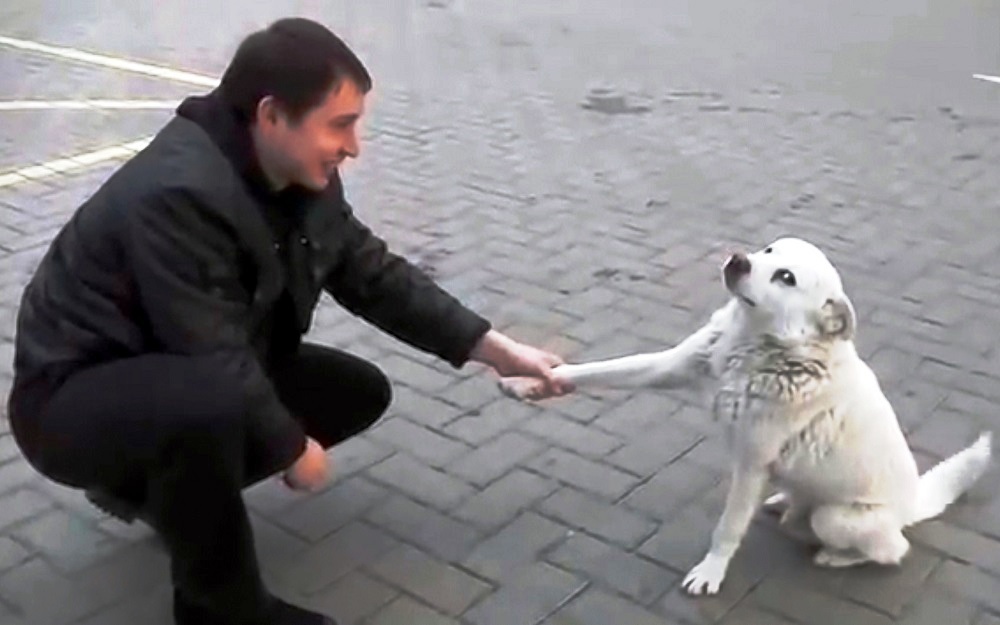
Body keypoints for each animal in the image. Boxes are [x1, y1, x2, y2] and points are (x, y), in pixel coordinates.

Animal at [500, 238, 992, 596]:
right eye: (769, 249)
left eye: (786, 277)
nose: (737, 258)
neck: (754, 348)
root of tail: (914, 502)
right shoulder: (665, 367)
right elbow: (590, 371)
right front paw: (529, 381)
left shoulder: (751, 463)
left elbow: (728, 528)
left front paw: (711, 572)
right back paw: (783, 502)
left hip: (838, 518)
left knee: (892, 550)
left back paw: (835, 555)